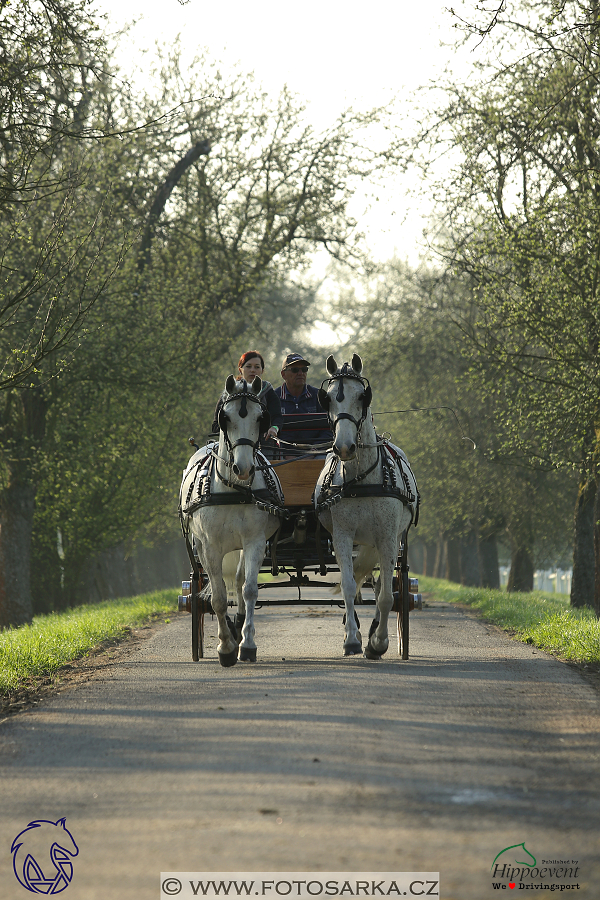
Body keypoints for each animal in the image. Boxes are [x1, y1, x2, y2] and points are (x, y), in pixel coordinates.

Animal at [180, 376, 282, 664]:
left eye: (261, 418)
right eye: (225, 418)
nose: (244, 468)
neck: (233, 489)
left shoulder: (255, 542)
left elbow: (248, 590)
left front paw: (246, 644)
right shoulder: (211, 546)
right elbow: (218, 598)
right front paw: (225, 647)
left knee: (238, 583)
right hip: (201, 546)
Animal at [314, 356, 418, 656]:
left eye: (362, 396)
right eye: (327, 399)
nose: (344, 447)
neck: (362, 479)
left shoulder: (387, 537)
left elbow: (385, 597)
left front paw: (379, 643)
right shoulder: (342, 536)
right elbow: (349, 587)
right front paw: (351, 639)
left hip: (390, 540)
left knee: (383, 584)